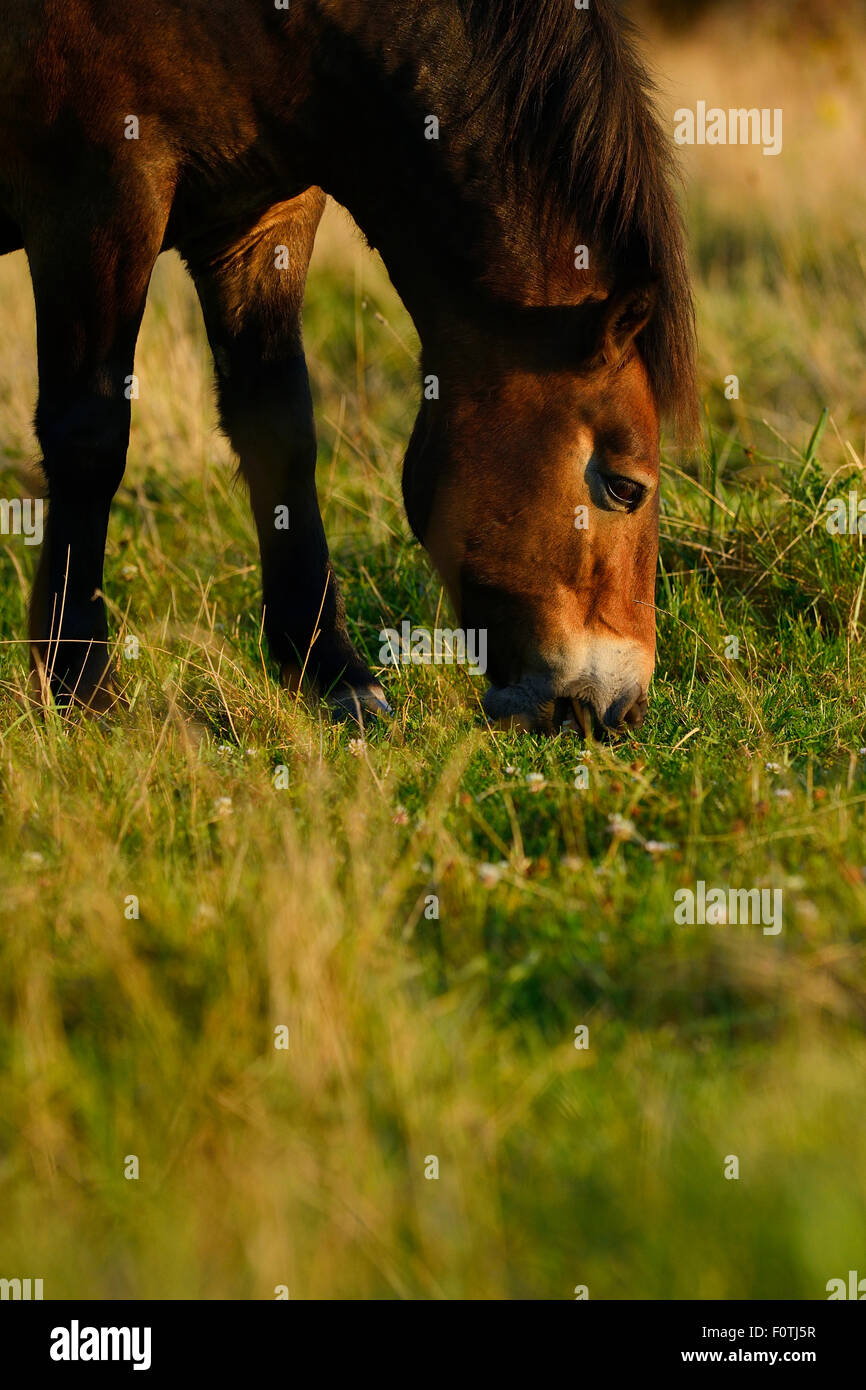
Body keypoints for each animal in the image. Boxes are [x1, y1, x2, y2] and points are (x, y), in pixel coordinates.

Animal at [0, 0, 696, 732]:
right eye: (625, 487)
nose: (621, 709)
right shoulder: (93, 198)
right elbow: (90, 442)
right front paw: (82, 689)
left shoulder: (260, 223)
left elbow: (280, 436)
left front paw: (331, 673)